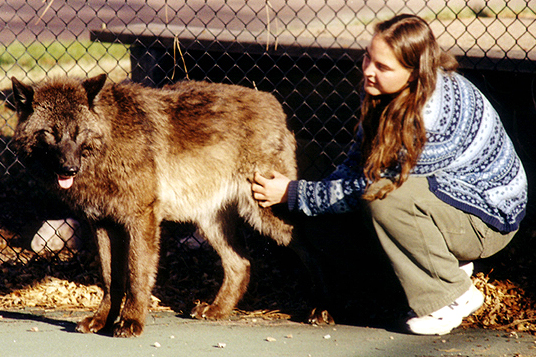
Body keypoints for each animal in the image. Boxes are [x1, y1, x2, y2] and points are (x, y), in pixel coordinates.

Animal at [10, 75, 298, 336]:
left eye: (78, 132)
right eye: (50, 133)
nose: (70, 168)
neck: (110, 141)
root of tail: (273, 102)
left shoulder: (142, 219)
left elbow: (137, 277)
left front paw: (131, 322)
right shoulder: (103, 225)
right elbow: (111, 280)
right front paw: (102, 321)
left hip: (265, 209)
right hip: (211, 223)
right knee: (241, 264)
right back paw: (217, 310)